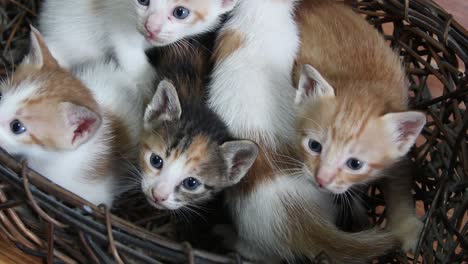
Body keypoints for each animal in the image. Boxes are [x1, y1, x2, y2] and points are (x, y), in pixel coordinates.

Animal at [294, 0, 426, 252]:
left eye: (355, 164)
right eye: (314, 146)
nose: (321, 180)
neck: (363, 83)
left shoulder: (398, 159)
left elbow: (399, 184)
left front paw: (407, 228)